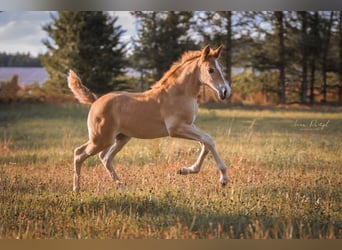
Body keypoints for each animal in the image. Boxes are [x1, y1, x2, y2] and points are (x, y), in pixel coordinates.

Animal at [68, 45, 231, 192]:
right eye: (211, 70)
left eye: (221, 68)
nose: (225, 92)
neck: (179, 93)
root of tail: (95, 100)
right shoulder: (176, 128)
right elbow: (208, 140)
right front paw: (223, 178)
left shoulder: (190, 125)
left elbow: (205, 143)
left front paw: (186, 170)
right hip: (101, 139)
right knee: (79, 153)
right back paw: (77, 189)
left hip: (120, 138)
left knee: (105, 158)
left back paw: (120, 185)